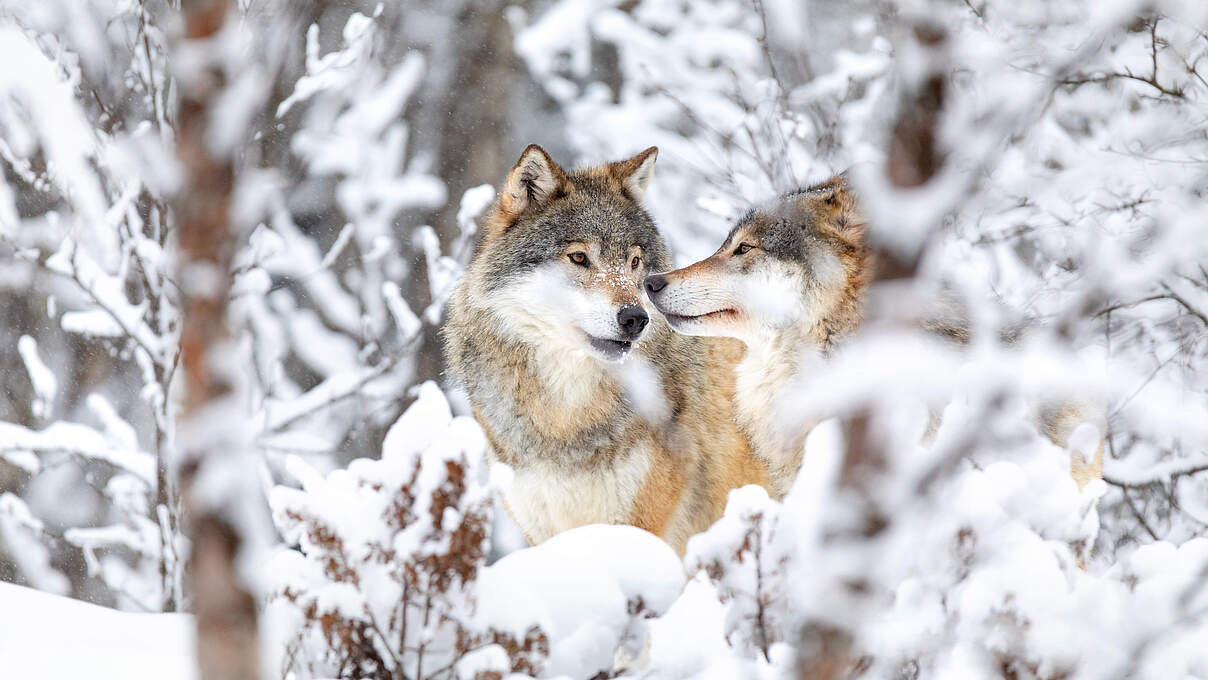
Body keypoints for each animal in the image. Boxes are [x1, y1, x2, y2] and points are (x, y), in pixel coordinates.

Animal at [443, 144, 769, 555]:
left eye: (634, 261)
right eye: (579, 257)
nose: (636, 318)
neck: (566, 420)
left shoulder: (638, 528)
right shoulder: (544, 532)